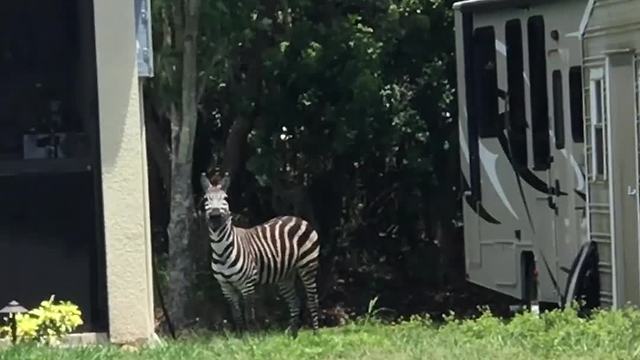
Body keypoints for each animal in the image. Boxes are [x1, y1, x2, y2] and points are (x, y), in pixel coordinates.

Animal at [200, 173, 320, 336]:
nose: (215, 216)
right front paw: (239, 337)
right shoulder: (225, 287)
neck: (221, 251)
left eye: (225, 198)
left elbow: (249, 314)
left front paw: (251, 338)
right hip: (285, 274)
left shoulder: (247, 284)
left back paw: (316, 332)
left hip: (308, 266)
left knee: (313, 299)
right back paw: (292, 334)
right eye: (206, 199)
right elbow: (236, 315)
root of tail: (297, 218)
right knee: (295, 301)